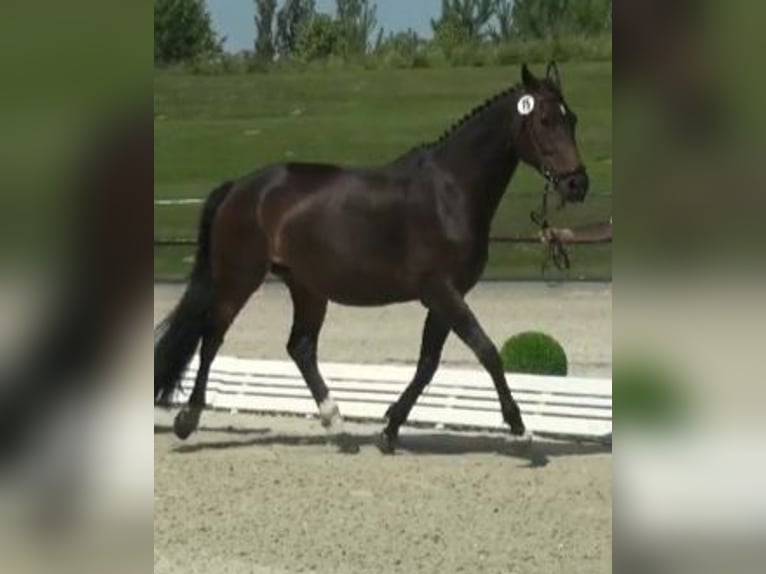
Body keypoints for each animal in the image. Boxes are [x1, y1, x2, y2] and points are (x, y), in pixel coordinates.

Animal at [154, 60, 588, 452]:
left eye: (572, 119)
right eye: (545, 119)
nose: (578, 184)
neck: (450, 191)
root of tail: (240, 187)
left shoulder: (444, 297)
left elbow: (428, 364)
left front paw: (390, 428)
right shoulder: (442, 291)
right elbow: (486, 351)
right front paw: (519, 428)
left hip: (307, 287)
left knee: (300, 347)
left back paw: (339, 426)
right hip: (240, 278)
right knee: (212, 336)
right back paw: (187, 419)